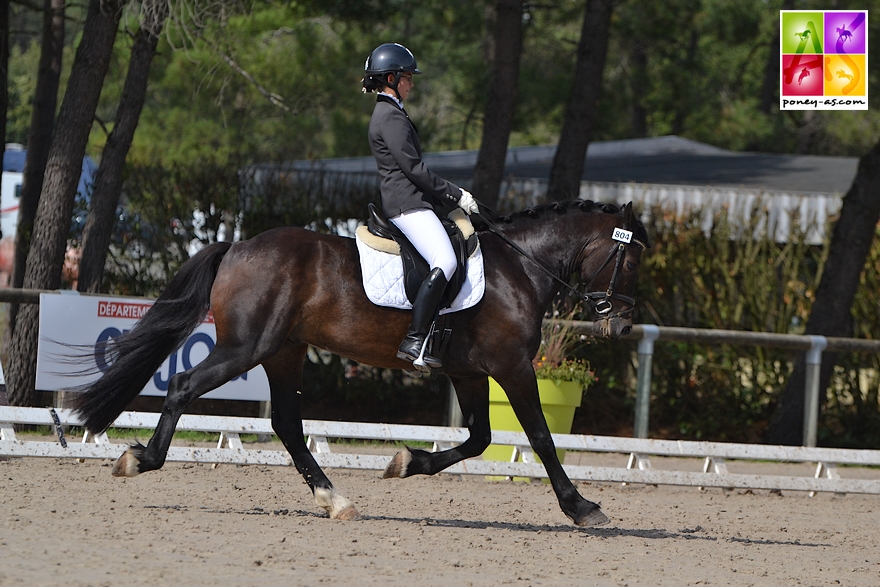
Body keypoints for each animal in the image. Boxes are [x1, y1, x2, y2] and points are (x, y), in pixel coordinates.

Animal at [70, 200, 648, 524]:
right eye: (631, 259)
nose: (621, 326)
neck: (520, 268)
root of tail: (237, 246)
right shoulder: (512, 369)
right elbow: (542, 439)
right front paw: (582, 508)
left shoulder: (468, 371)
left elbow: (481, 439)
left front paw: (405, 463)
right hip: (247, 348)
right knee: (184, 386)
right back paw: (140, 459)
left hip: (284, 352)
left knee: (287, 424)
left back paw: (335, 500)